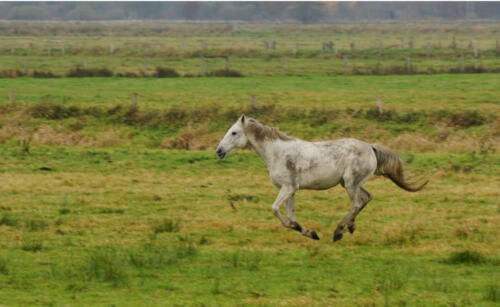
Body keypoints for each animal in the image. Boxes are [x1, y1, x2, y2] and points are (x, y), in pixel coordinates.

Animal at [217, 116, 428, 243]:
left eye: (234, 132)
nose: (219, 151)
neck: (278, 153)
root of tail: (370, 147)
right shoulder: (291, 190)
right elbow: (290, 216)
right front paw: (309, 232)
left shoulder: (287, 188)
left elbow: (275, 209)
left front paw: (308, 231)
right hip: (351, 183)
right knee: (366, 198)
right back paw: (350, 226)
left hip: (350, 183)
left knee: (356, 203)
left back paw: (338, 231)